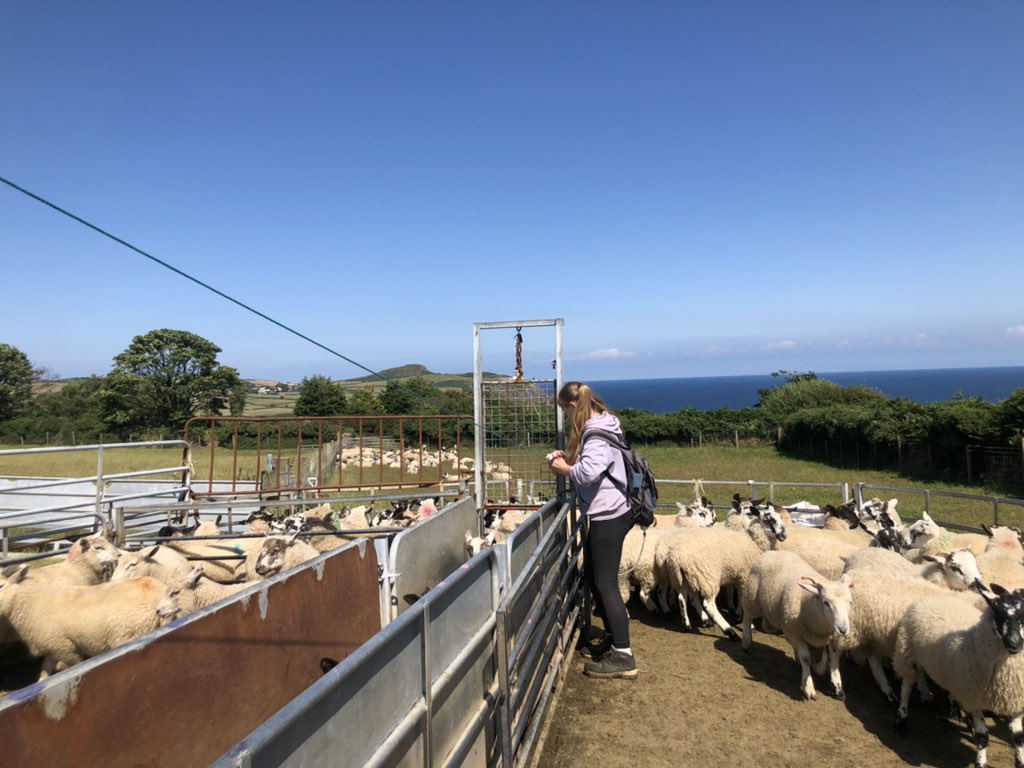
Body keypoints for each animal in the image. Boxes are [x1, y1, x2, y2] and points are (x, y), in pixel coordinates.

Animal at [0, 565, 180, 679]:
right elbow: (45, 668)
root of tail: (160, 596)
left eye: (1, 585)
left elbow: (74, 665)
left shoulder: (66, 648)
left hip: (128, 634)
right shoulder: (56, 645)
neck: (32, 601)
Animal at [741, 548, 851, 700]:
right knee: (747, 615)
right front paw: (808, 686)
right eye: (826, 602)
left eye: (850, 602)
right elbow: (806, 657)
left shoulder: (831, 637)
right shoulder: (794, 632)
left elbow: (831, 659)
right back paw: (746, 641)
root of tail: (772, 552)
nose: (843, 629)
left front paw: (830, 679)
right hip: (752, 597)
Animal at [892, 581, 1024, 768]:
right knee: (907, 686)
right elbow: (983, 736)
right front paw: (981, 762)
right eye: (998, 614)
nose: (1014, 644)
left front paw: (1020, 761)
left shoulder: (1016, 700)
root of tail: (933, 597)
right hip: (907, 651)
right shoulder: (973, 699)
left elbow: (1018, 737)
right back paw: (902, 719)